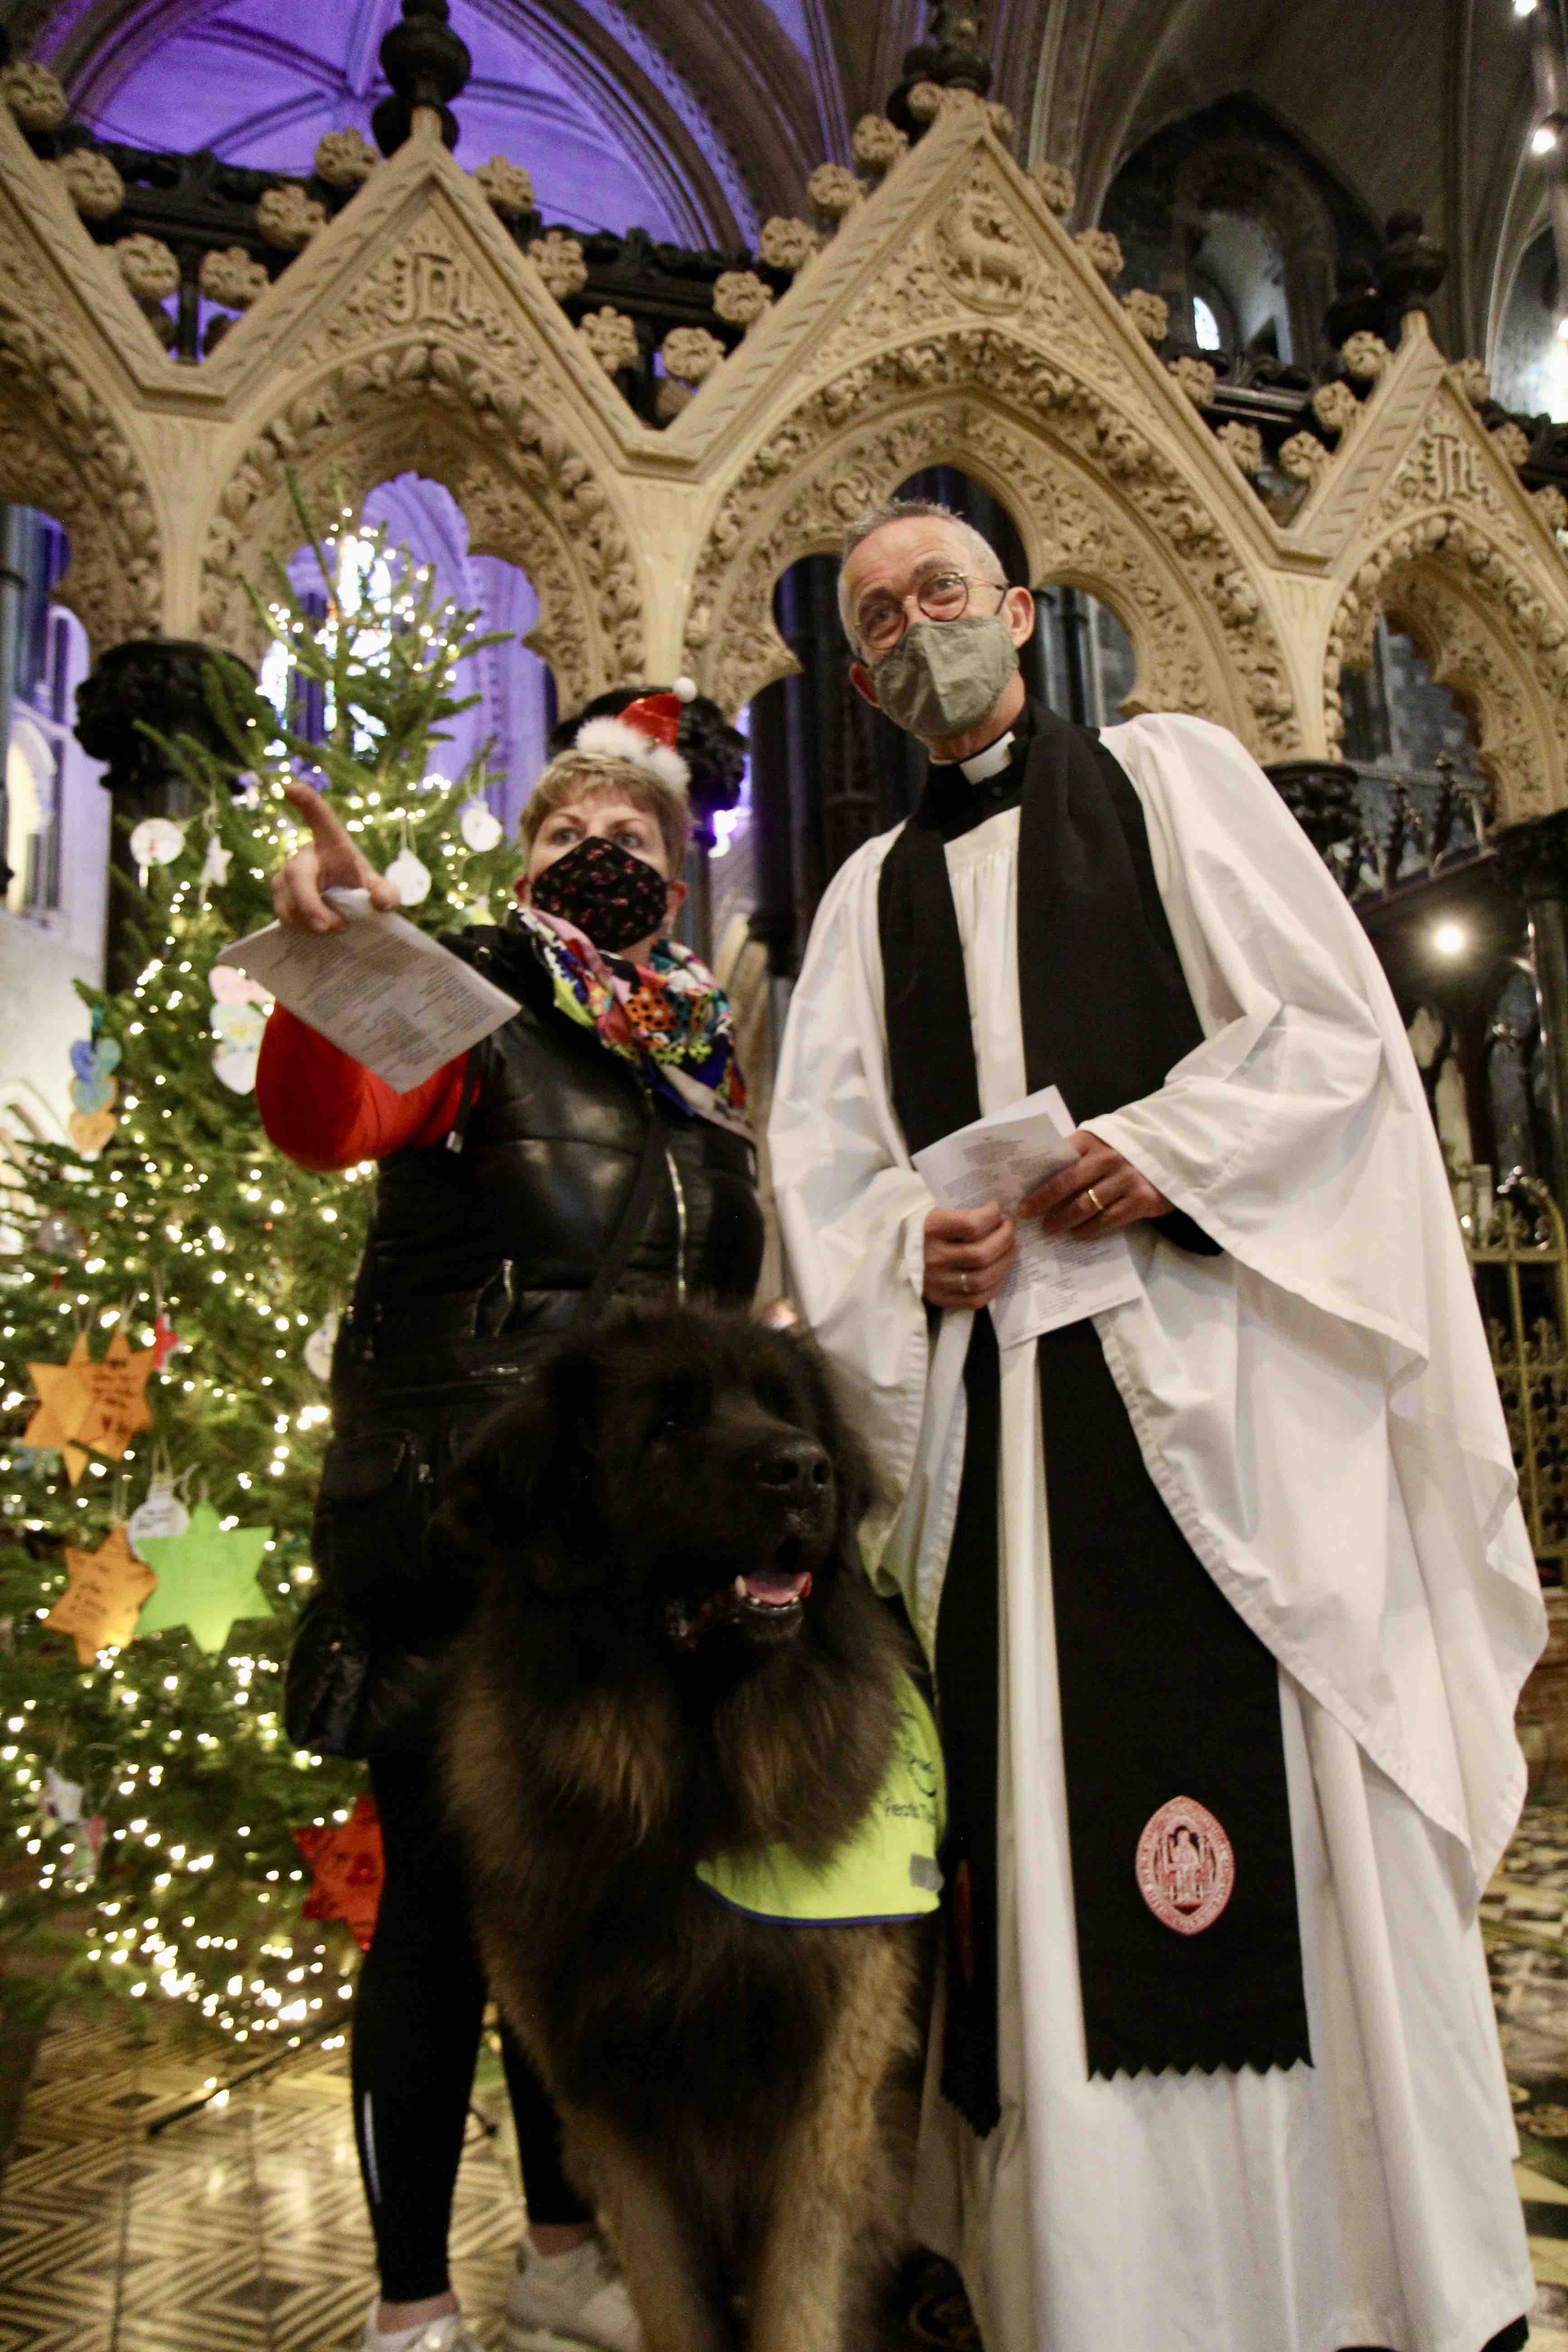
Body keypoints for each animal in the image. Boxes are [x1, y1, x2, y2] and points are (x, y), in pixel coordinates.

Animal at [432, 1308, 931, 2352]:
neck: (692, 1791)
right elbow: (675, 2303)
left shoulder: (825, 2102)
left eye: (787, 1411)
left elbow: (796, 2307)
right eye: (665, 1426)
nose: (804, 1470)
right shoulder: (608, 2109)